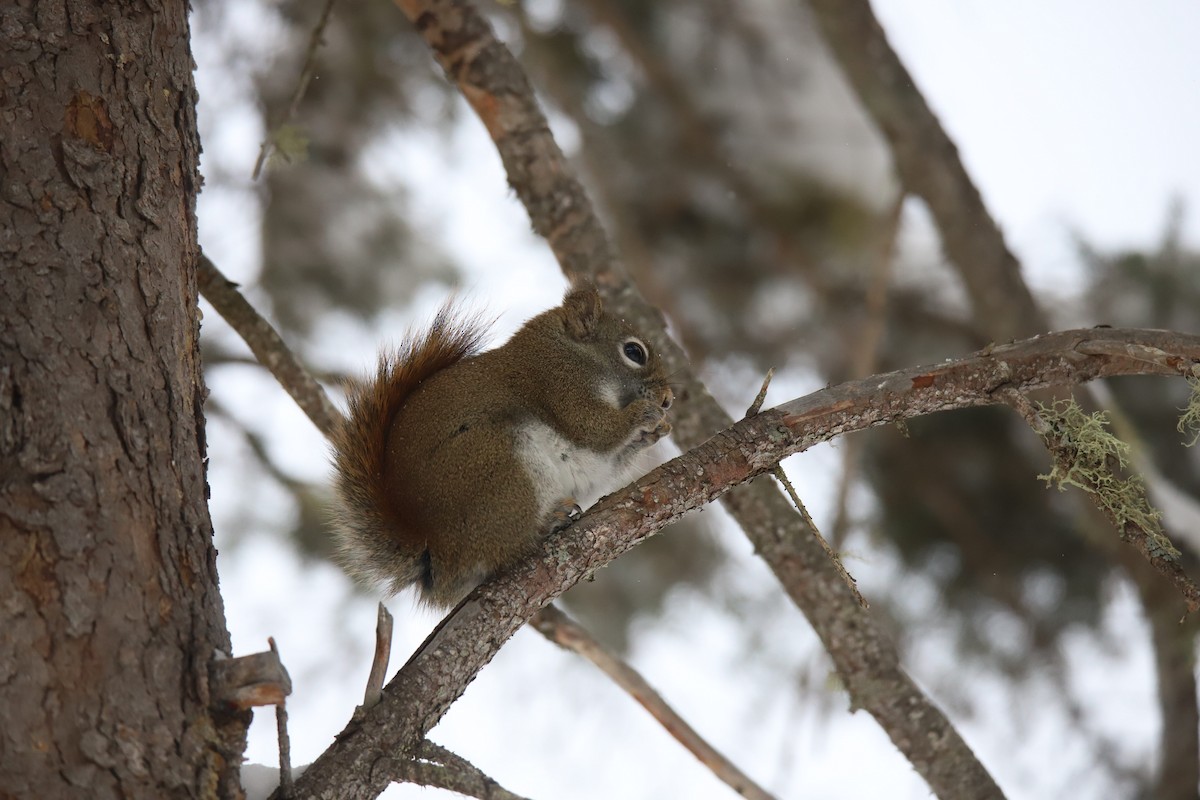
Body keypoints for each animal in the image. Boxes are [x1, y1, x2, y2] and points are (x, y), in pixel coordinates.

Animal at [329, 284, 674, 608]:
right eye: (634, 352)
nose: (668, 400)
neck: (569, 352)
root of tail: (437, 551)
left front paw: (656, 432)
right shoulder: (558, 386)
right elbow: (594, 428)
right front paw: (644, 414)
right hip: (498, 467)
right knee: (504, 552)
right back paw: (546, 525)